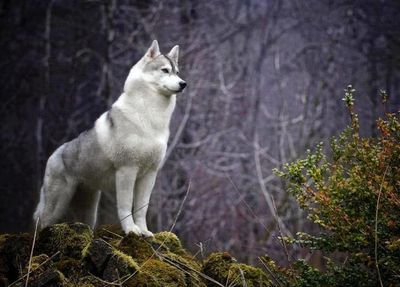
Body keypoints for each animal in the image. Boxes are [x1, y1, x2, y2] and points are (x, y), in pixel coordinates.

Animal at [32, 41, 186, 238]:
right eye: (165, 70)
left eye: (177, 72)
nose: (183, 84)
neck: (149, 117)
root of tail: (54, 154)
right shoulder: (127, 170)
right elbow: (126, 206)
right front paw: (131, 230)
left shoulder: (150, 174)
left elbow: (141, 209)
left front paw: (144, 232)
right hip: (57, 204)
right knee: (42, 223)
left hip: (88, 210)